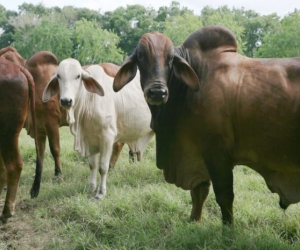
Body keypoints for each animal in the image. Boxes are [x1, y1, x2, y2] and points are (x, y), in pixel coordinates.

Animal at [42, 58, 154, 199]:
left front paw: (101, 193)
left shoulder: (107, 138)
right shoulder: (89, 139)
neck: (89, 100)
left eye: (78, 76)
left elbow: (103, 167)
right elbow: (92, 165)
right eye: (58, 76)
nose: (66, 101)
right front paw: (91, 188)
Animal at [112, 25, 300, 227]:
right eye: (140, 56)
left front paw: (228, 229)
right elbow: (198, 193)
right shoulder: (198, 154)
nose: (157, 92)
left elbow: (224, 196)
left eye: (170, 59)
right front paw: (194, 221)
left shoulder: (217, 153)